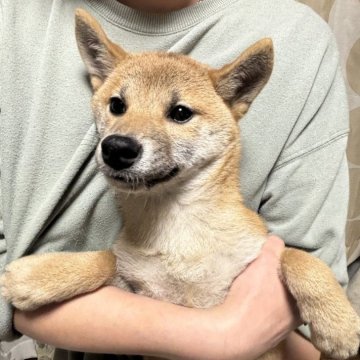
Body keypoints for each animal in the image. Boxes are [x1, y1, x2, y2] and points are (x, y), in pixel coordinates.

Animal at [0, 8, 360, 360]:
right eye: (117, 105)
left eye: (180, 112)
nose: (116, 148)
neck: (178, 227)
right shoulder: (138, 284)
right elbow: (107, 258)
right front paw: (38, 275)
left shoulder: (255, 260)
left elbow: (299, 257)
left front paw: (338, 323)